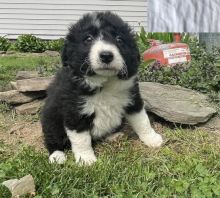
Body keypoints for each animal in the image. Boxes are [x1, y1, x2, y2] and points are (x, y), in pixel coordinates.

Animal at [40, 11, 162, 165]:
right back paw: (57, 156)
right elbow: (81, 139)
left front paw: (152, 138)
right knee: (52, 138)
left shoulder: (132, 99)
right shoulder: (74, 111)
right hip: (51, 119)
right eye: (88, 38)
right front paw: (86, 159)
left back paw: (113, 136)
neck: (104, 82)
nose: (106, 55)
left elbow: (142, 120)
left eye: (119, 39)